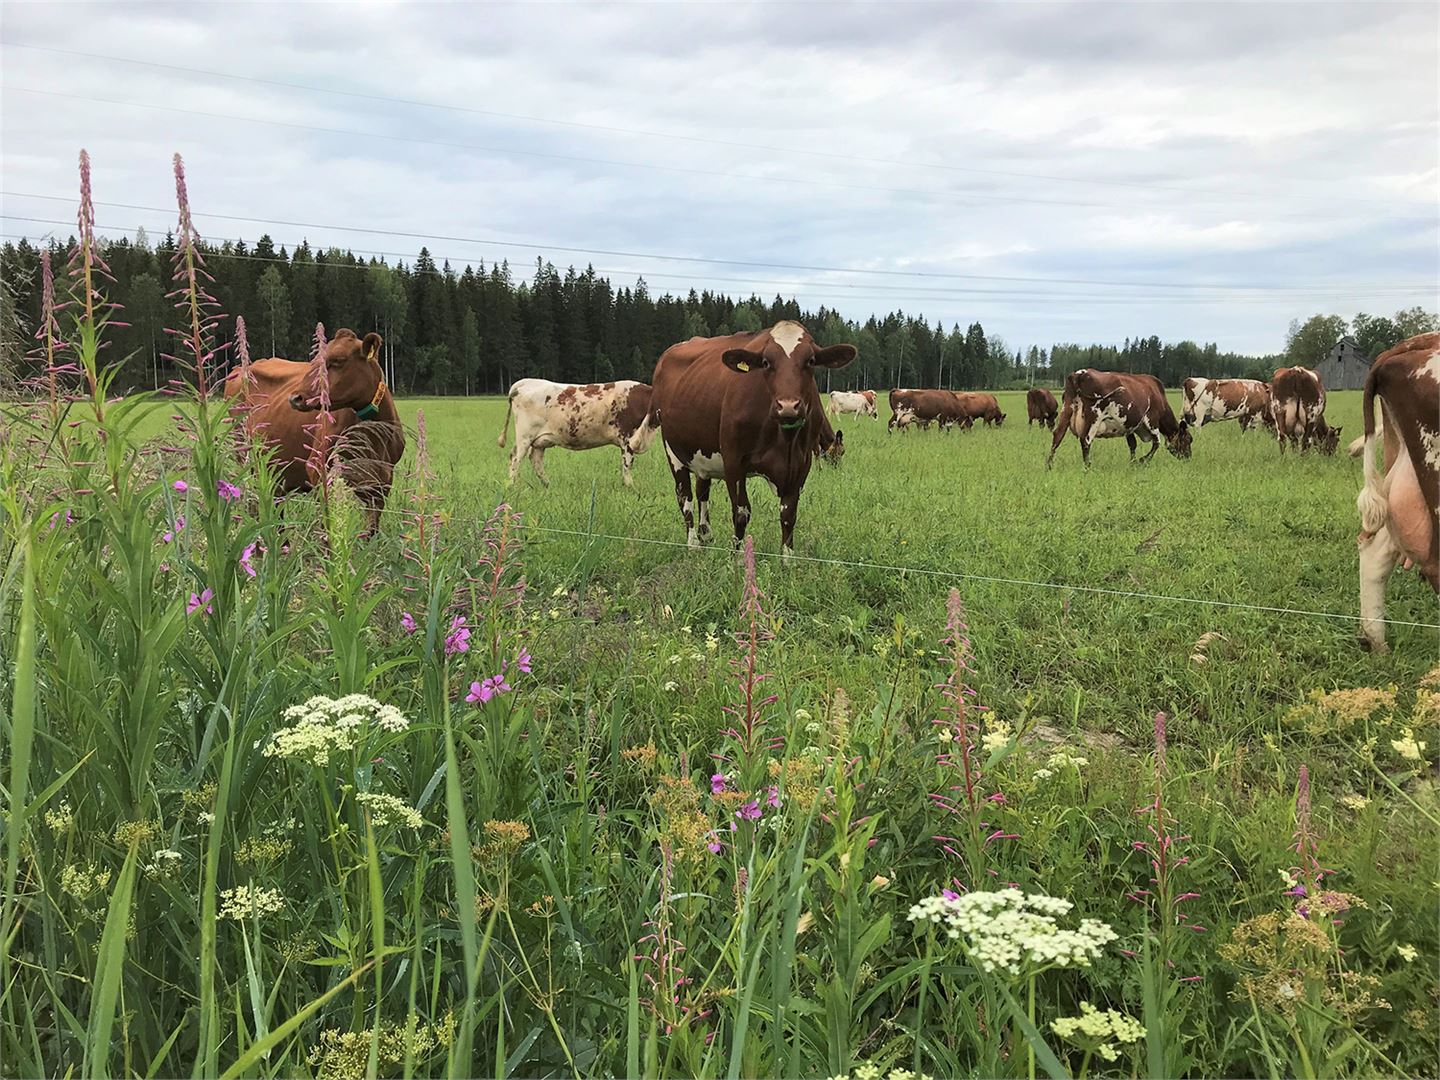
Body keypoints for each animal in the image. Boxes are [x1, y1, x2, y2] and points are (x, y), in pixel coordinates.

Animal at [223, 325, 406, 538]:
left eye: (339, 360)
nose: (295, 398)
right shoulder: (318, 469)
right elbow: (327, 523)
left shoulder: (381, 481)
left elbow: (372, 529)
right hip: (245, 457)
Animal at [495, 377, 653, 486]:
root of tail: (525, 382)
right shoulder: (627, 438)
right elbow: (627, 464)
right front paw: (631, 487)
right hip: (525, 436)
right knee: (515, 458)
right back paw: (512, 486)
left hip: (539, 441)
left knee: (535, 460)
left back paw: (547, 485)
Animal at [653, 319, 852, 558]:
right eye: (766, 362)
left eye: (811, 361)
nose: (788, 406)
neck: (784, 440)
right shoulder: (733, 462)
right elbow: (741, 513)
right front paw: (737, 560)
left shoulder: (801, 464)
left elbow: (789, 515)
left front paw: (788, 562)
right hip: (673, 452)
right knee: (685, 498)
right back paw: (693, 545)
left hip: (702, 455)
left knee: (702, 491)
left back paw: (706, 535)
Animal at [1048, 371, 1192, 466]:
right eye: (1189, 439)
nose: (1188, 457)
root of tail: (1079, 374)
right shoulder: (1152, 420)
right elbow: (1156, 443)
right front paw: (1140, 461)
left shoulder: (1129, 425)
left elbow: (1132, 444)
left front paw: (1132, 462)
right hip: (1093, 417)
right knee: (1086, 441)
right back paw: (1087, 467)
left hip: (1066, 410)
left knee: (1057, 435)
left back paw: (1049, 466)